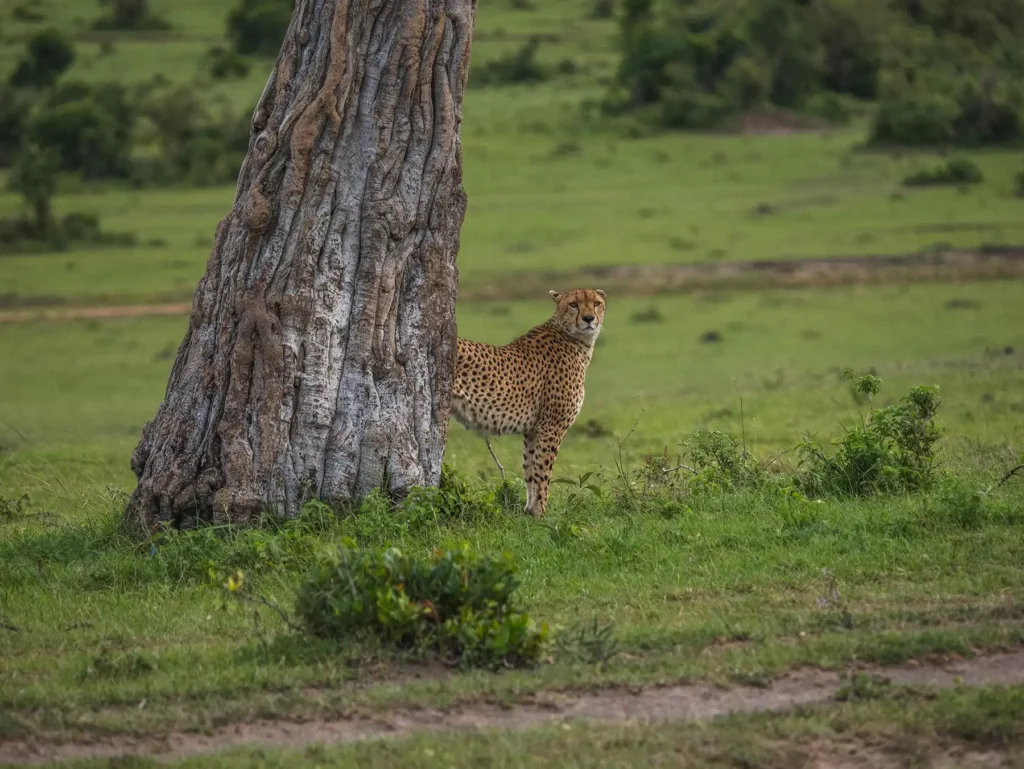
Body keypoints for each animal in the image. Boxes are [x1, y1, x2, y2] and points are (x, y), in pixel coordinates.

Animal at [451, 288, 607, 517]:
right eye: (573, 304)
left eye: (596, 303)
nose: (589, 319)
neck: (573, 337)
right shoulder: (551, 427)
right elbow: (543, 471)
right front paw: (541, 512)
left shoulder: (533, 429)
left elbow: (530, 469)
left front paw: (529, 510)